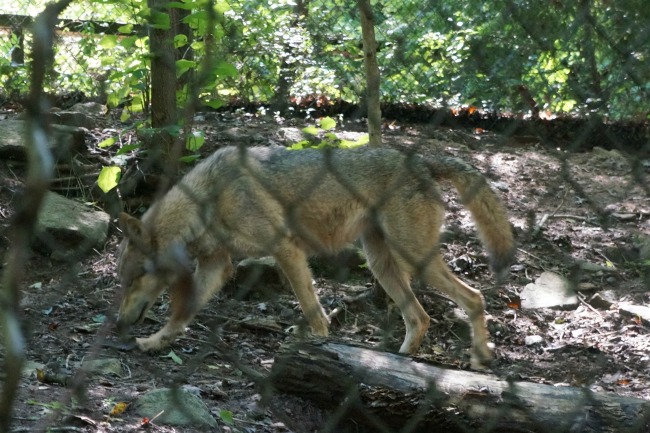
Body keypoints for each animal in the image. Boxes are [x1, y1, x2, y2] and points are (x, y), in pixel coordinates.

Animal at [116, 145, 514, 368]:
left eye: (134, 278)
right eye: (124, 280)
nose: (118, 322)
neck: (207, 201)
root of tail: (423, 161)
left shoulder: (286, 250)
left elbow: (313, 311)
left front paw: (320, 353)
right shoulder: (218, 265)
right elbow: (180, 315)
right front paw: (154, 343)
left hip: (415, 260)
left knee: (474, 297)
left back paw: (480, 360)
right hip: (382, 264)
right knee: (420, 318)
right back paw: (396, 364)